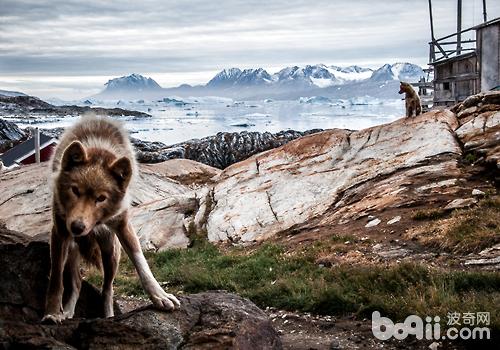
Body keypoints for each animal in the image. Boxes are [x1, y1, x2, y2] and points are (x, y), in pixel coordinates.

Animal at [43, 116, 180, 324]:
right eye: (75, 190)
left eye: (101, 198)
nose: (77, 227)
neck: (99, 151)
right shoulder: (60, 231)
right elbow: (56, 280)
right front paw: (51, 313)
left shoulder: (123, 225)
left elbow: (142, 264)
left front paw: (160, 296)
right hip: (73, 250)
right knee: (77, 283)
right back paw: (67, 313)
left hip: (110, 253)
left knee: (107, 289)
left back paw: (108, 317)